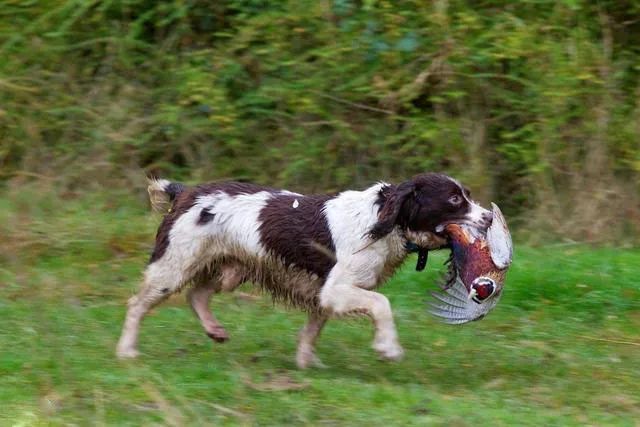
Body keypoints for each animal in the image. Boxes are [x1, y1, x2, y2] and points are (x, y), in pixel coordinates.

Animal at [117, 173, 492, 368]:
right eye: (454, 200)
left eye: (467, 195)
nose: (489, 217)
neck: (384, 221)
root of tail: (184, 192)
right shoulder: (337, 288)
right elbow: (382, 305)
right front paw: (388, 347)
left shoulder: (323, 294)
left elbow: (311, 331)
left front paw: (306, 365)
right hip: (174, 265)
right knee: (137, 304)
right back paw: (127, 351)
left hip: (227, 267)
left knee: (196, 294)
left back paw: (215, 330)